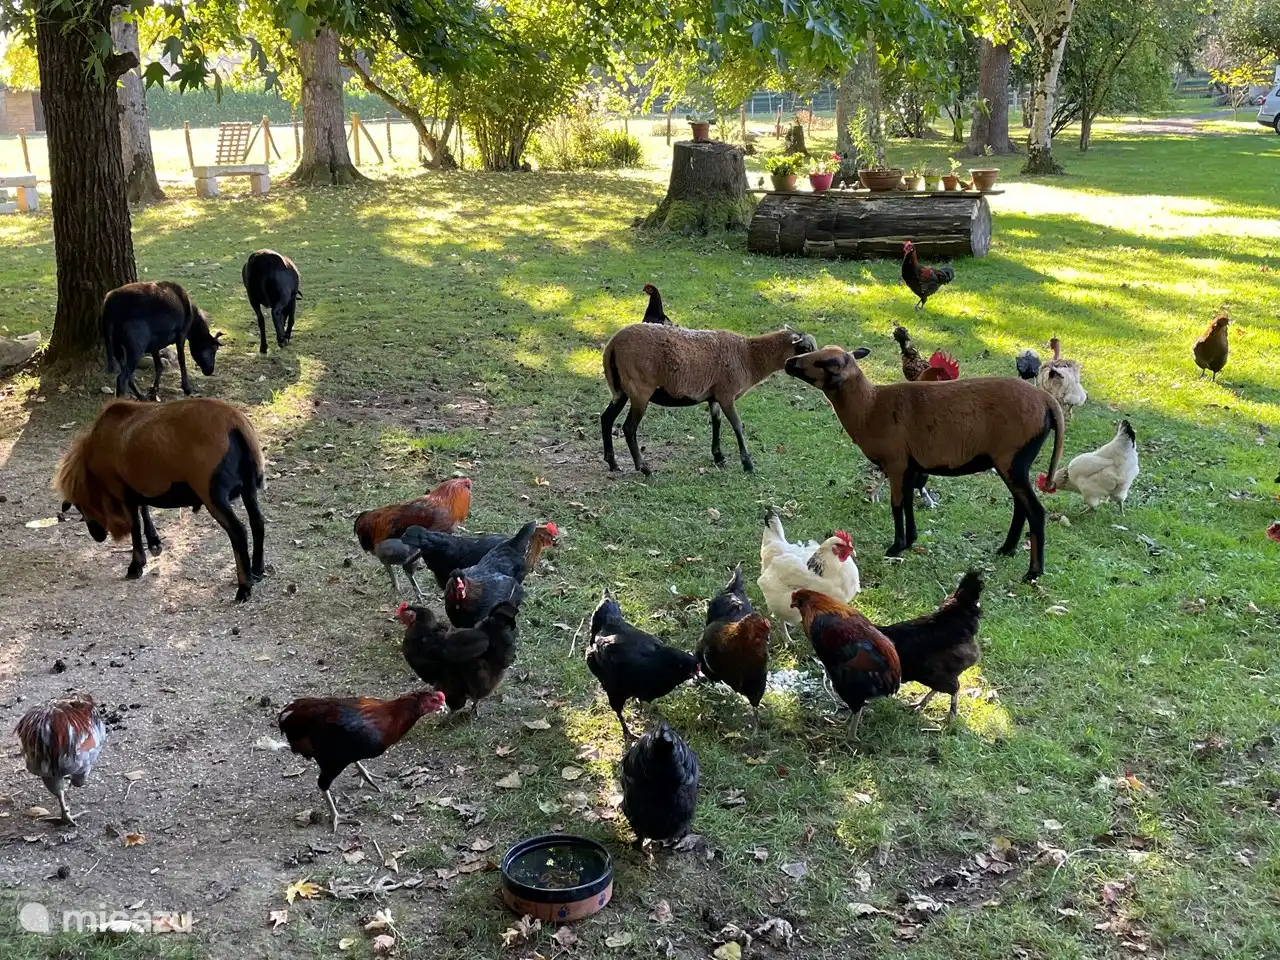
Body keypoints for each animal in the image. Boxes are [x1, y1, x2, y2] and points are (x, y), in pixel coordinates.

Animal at [53, 398, 266, 602]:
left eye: (81, 506)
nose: (97, 536)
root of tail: (236, 424)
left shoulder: (122, 491)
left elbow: (135, 526)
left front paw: (135, 566)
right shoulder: (139, 486)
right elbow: (144, 508)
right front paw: (154, 542)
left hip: (212, 492)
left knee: (238, 531)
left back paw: (244, 588)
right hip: (248, 488)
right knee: (257, 522)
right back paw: (257, 570)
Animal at [601, 323, 817, 474]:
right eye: (806, 348)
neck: (749, 356)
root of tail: (612, 344)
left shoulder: (714, 396)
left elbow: (717, 422)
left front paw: (719, 457)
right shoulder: (727, 394)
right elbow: (738, 426)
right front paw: (747, 464)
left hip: (620, 389)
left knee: (606, 419)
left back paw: (613, 463)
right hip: (640, 389)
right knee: (629, 427)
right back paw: (643, 468)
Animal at [784, 345, 1064, 582]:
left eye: (828, 363)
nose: (789, 362)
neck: (869, 407)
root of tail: (1047, 402)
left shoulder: (896, 462)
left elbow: (897, 505)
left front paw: (896, 547)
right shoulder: (910, 466)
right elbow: (908, 502)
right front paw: (910, 540)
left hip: (1013, 458)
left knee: (1035, 510)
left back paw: (1033, 572)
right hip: (1013, 462)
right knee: (1021, 506)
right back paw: (1006, 549)